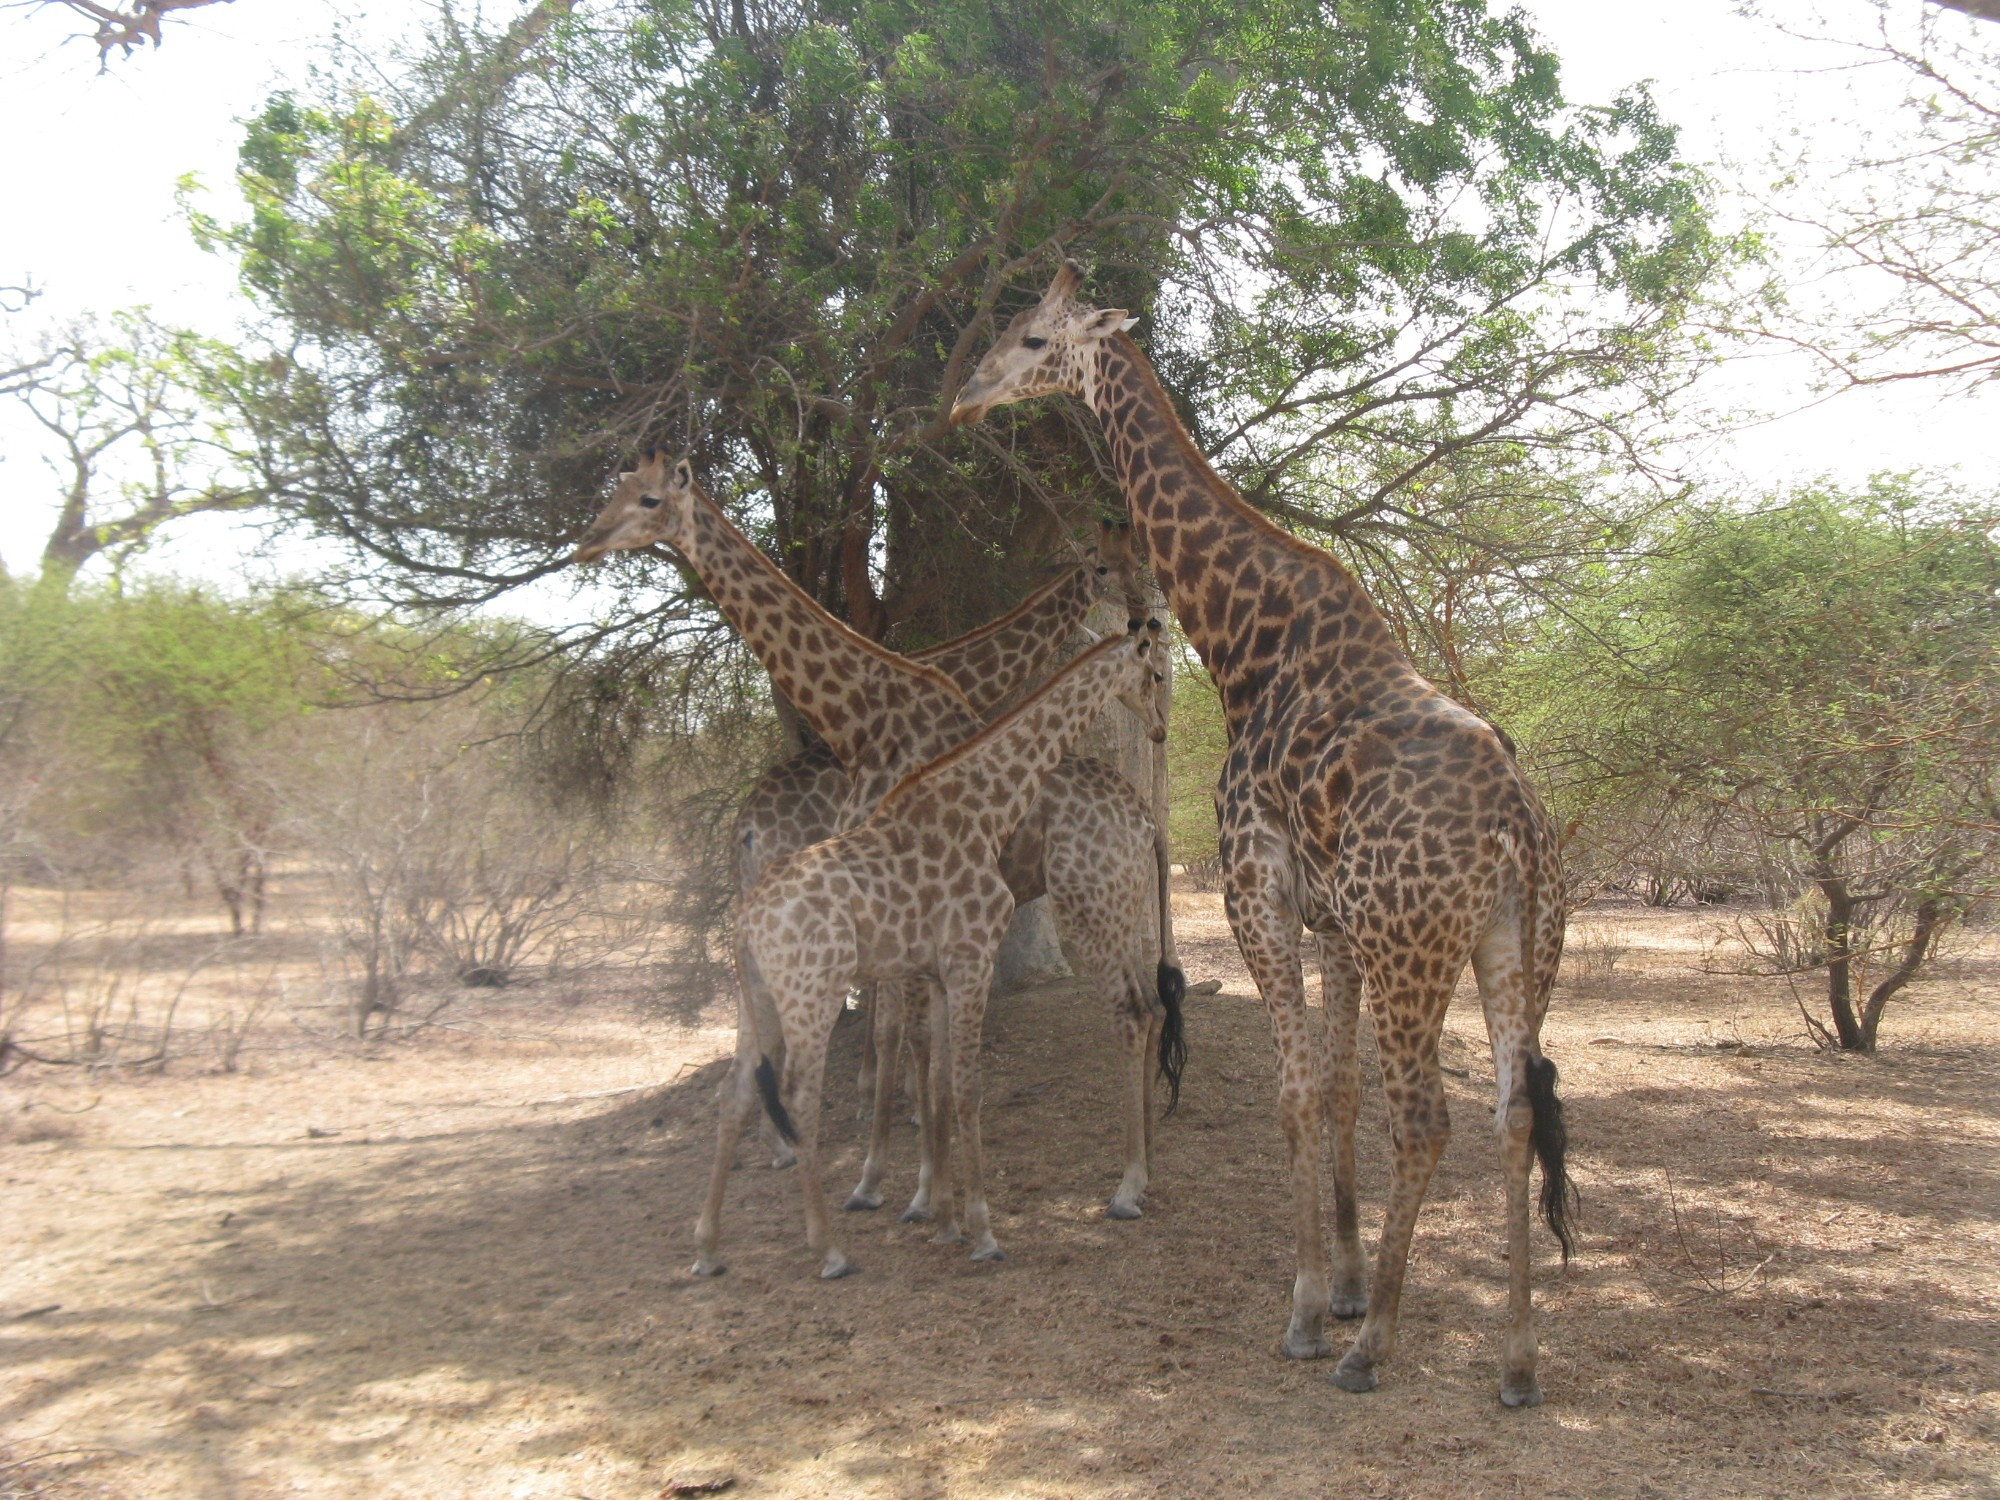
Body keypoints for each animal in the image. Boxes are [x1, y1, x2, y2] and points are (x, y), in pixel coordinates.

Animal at [704, 632, 1168, 1280]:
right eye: (1154, 675)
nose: (1159, 729)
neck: (986, 805)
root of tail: (746, 922)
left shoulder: (943, 970)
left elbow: (943, 1080)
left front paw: (944, 1218)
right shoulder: (971, 955)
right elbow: (966, 1086)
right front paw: (982, 1232)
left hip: (758, 997)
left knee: (736, 1089)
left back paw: (708, 1248)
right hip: (812, 991)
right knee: (796, 1095)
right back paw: (830, 1250)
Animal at [952, 262, 1576, 1408]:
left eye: (1031, 339)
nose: (967, 397)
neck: (1247, 641)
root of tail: (1518, 825)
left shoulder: (1257, 890)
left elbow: (1292, 1096)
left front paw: (1307, 1314)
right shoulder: (1334, 925)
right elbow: (1332, 1090)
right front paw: (1343, 1283)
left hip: (1414, 947)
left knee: (1429, 1118)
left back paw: (1373, 1353)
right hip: (1519, 943)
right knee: (1513, 1112)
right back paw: (1513, 1362)